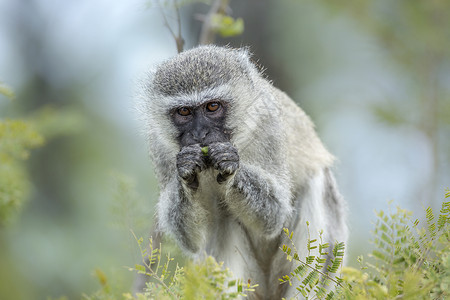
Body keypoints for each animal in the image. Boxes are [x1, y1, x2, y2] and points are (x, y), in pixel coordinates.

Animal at [137, 45, 348, 298]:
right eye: (184, 111)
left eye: (212, 106)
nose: (199, 134)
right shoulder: (158, 146)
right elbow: (190, 239)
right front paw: (188, 169)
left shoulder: (268, 124)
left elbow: (275, 215)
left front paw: (228, 163)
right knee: (223, 218)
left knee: (317, 184)